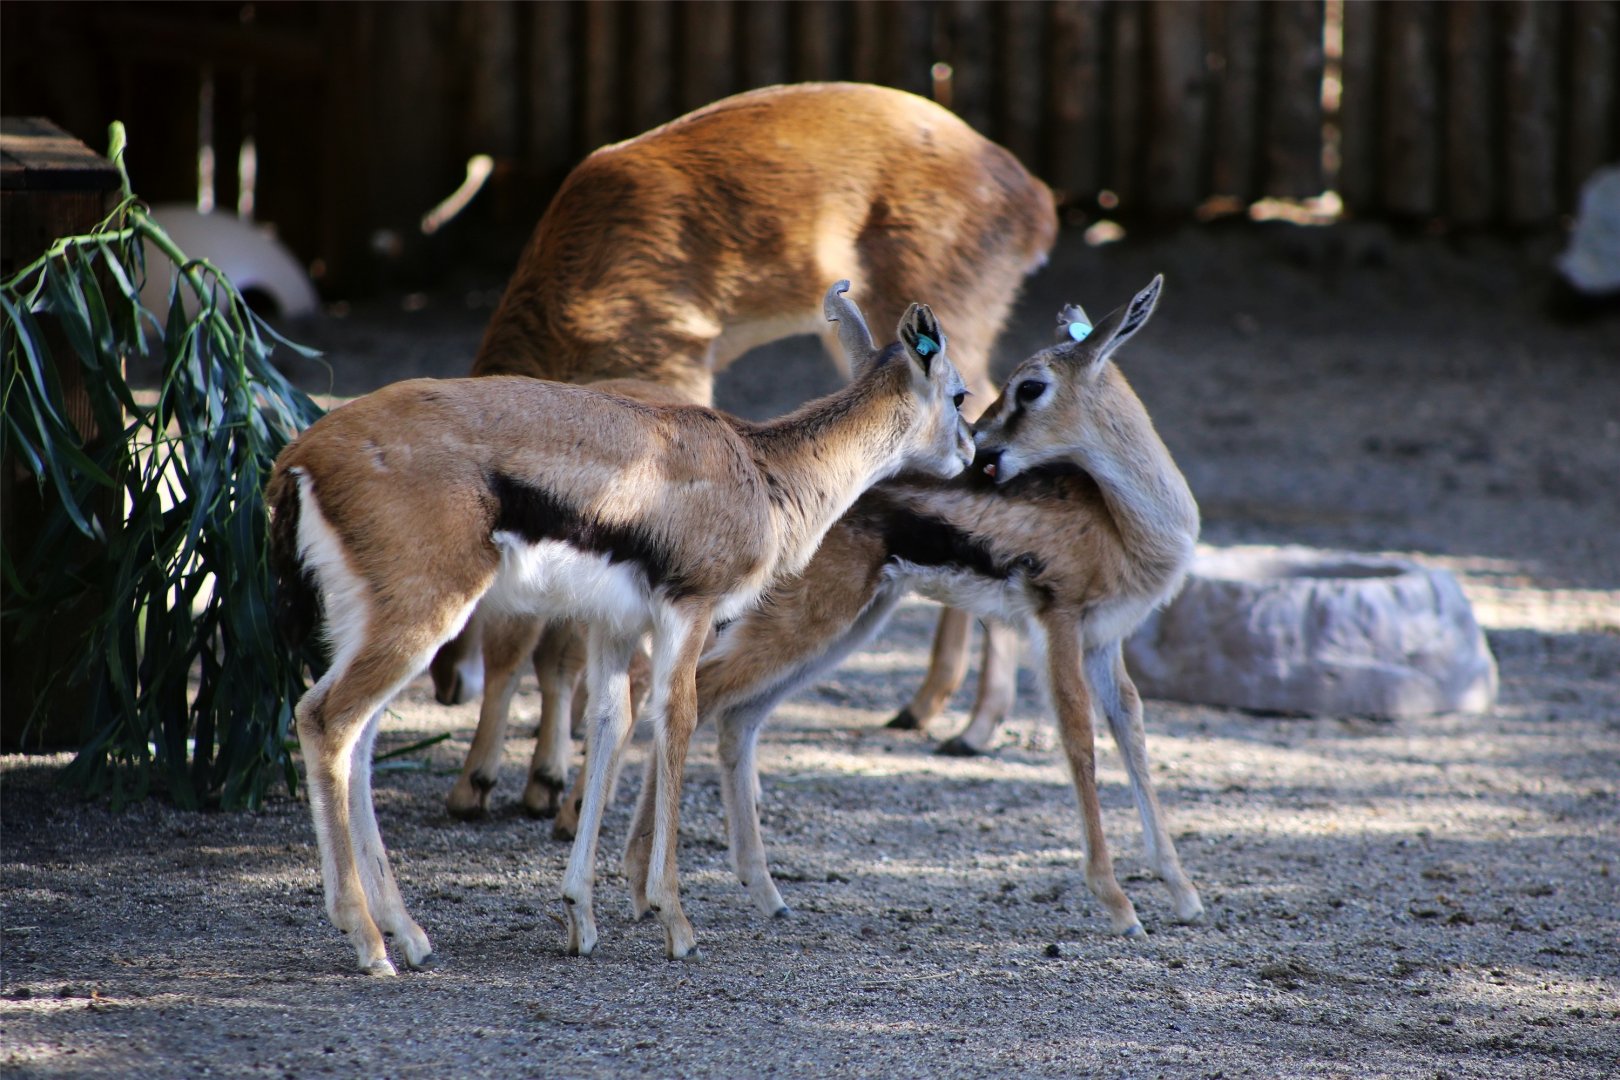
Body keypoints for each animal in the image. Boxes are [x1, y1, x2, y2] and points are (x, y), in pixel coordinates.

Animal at [268, 282, 974, 971]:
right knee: (326, 719)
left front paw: (580, 916)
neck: (761, 467)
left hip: (374, 623)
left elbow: (610, 724)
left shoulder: (615, 625)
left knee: (359, 737)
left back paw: (407, 934)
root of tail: (304, 451)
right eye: (960, 393)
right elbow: (678, 718)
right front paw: (674, 920)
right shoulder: (688, 612)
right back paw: (367, 941)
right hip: (425, 615)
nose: (973, 452)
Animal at [428, 82, 1055, 801]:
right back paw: (925, 708)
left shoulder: (677, 370)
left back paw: (975, 727)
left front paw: (540, 776)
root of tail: (1037, 203)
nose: (444, 682)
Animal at [663, 276, 1204, 936]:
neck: (1122, 524)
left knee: (736, 717)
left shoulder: (1106, 640)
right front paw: (1119, 906)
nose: (983, 448)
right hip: (811, 618)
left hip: (848, 625)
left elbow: (1132, 734)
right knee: (697, 696)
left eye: (1031, 386)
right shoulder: (1058, 624)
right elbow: (1080, 741)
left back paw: (766, 893)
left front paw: (1183, 893)